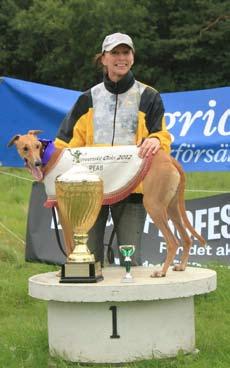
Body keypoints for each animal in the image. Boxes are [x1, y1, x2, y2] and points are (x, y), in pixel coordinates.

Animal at [8, 129, 206, 276]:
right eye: (25, 148)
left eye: (37, 146)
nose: (37, 163)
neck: (48, 155)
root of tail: (167, 157)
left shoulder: (64, 212)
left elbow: (70, 245)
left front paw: (64, 270)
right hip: (172, 208)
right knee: (186, 239)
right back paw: (181, 266)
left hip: (154, 206)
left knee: (173, 241)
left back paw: (162, 272)